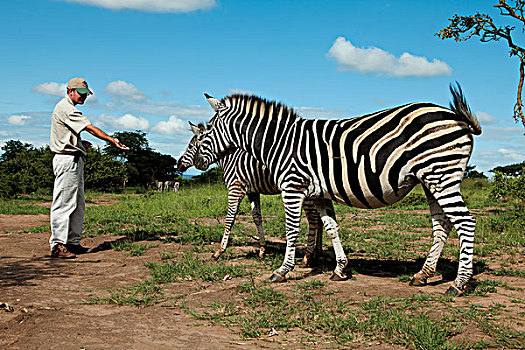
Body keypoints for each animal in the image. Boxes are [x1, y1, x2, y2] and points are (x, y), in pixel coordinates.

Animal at [178, 121, 322, 264]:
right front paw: (262, 249)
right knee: (319, 217)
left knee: (313, 218)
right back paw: (317, 252)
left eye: (190, 146)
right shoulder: (252, 192)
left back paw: (308, 256)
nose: (178, 165)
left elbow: (229, 218)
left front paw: (219, 251)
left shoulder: (235, 189)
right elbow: (257, 217)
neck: (229, 159)